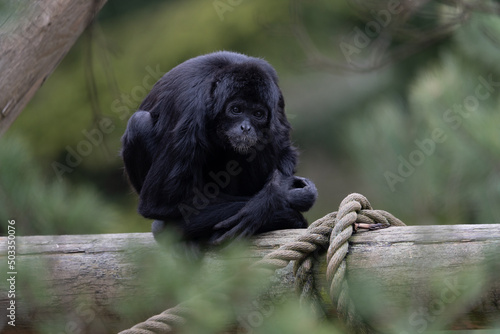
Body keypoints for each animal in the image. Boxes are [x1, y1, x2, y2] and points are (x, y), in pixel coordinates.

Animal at [122, 52, 316, 245]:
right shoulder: (190, 109)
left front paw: (271, 198)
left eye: (258, 114)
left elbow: (284, 152)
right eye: (236, 109)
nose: (246, 127)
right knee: (138, 122)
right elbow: (159, 202)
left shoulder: (276, 97)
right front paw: (279, 199)